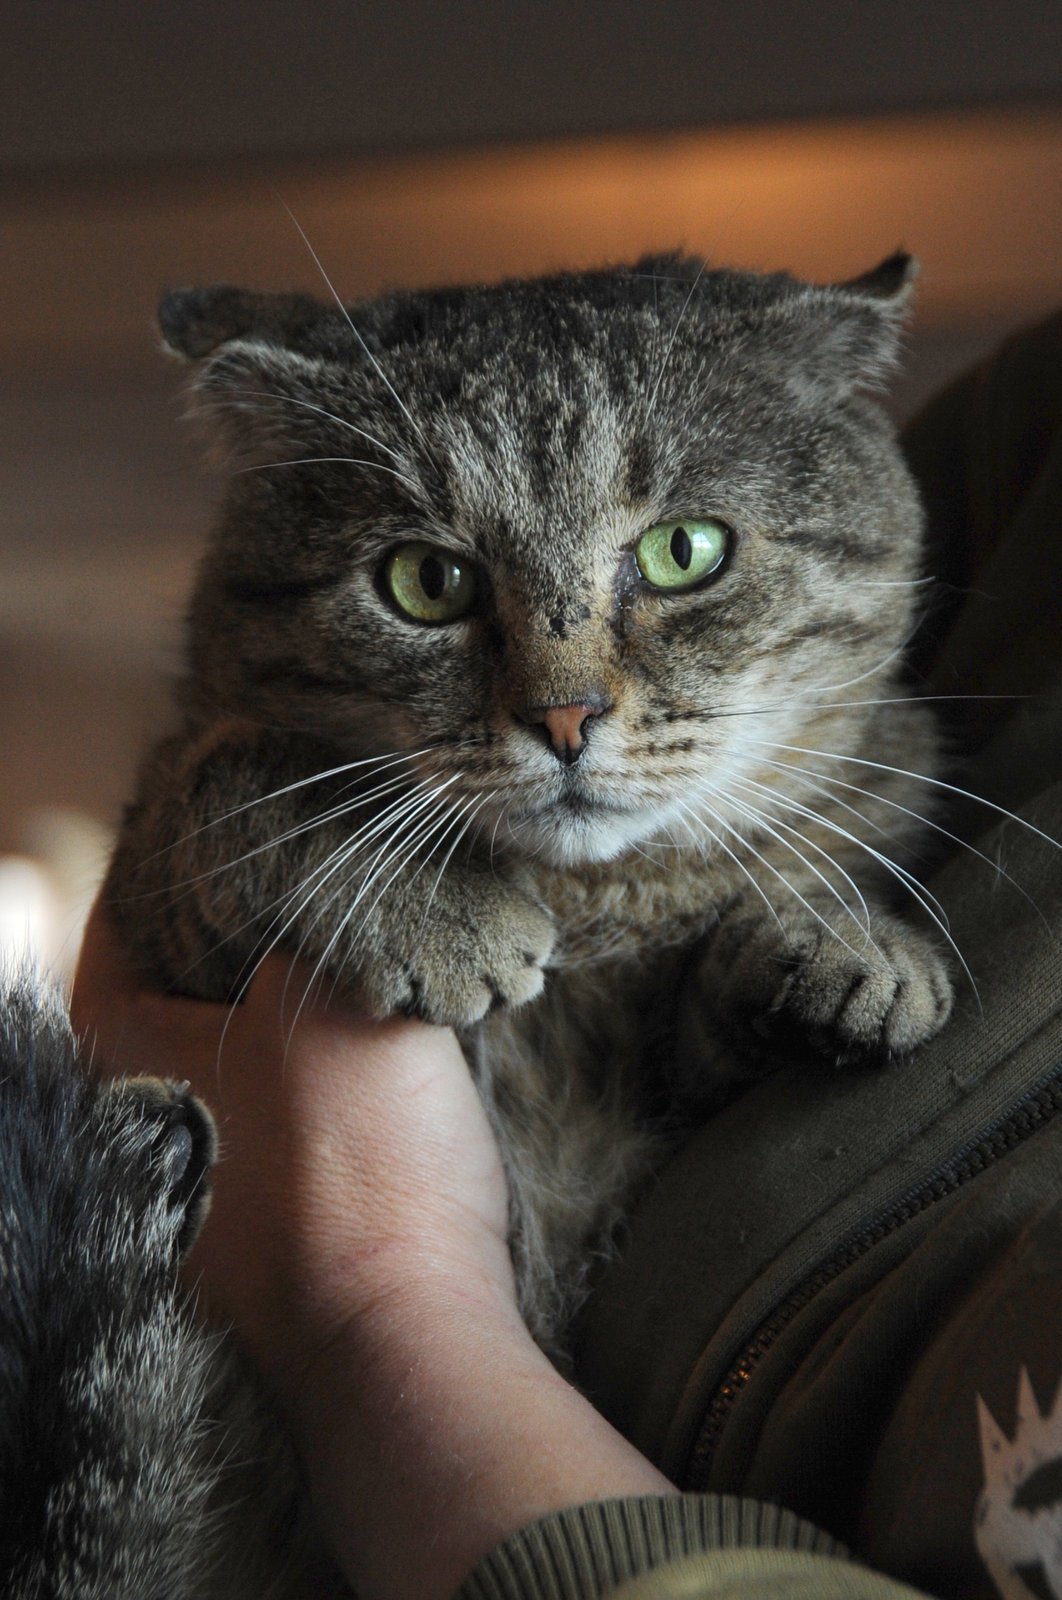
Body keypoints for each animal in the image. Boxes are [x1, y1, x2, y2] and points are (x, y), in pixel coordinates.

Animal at [107, 249, 953, 1350]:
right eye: (426, 579)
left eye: (687, 549)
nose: (563, 716)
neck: (595, 905)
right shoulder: (156, 904)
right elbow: (242, 776)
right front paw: (438, 907)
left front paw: (842, 941)